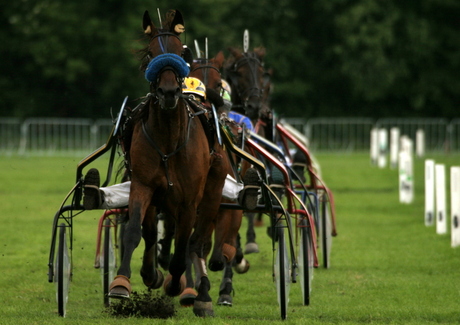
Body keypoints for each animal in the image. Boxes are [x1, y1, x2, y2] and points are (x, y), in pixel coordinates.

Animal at [109, 10, 228, 316]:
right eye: (151, 53)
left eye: (179, 52)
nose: (169, 92)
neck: (168, 141)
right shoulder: (143, 185)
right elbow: (134, 232)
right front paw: (123, 282)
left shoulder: (189, 199)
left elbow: (183, 247)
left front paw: (177, 285)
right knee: (153, 233)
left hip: (211, 192)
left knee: (196, 242)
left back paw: (200, 294)